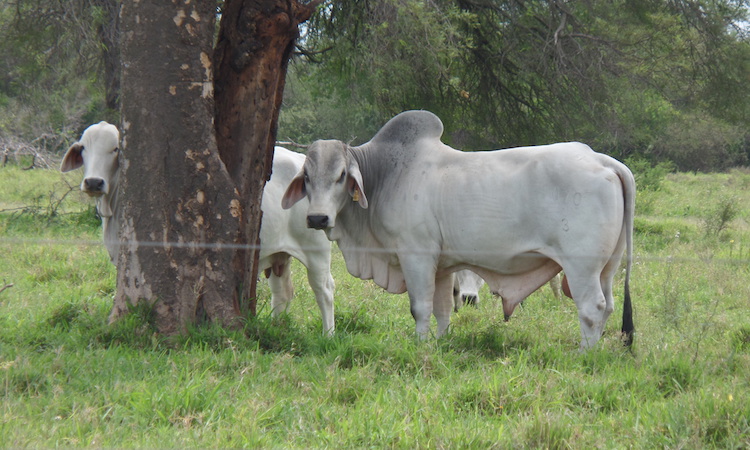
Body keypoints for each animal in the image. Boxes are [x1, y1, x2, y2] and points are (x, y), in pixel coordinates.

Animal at [60, 123, 336, 334]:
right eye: (83, 148)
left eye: (115, 148)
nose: (94, 182)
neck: (113, 208)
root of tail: (302, 163)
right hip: (280, 255)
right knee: (283, 293)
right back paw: (277, 327)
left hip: (316, 251)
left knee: (325, 291)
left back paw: (328, 335)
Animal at [282, 110, 636, 350]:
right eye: (307, 177)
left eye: (342, 175)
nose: (317, 219)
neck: (385, 174)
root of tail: (604, 161)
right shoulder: (441, 267)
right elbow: (442, 310)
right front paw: (438, 344)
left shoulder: (416, 255)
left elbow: (420, 308)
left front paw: (420, 346)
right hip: (607, 267)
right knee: (609, 305)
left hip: (581, 266)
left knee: (592, 307)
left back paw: (584, 354)